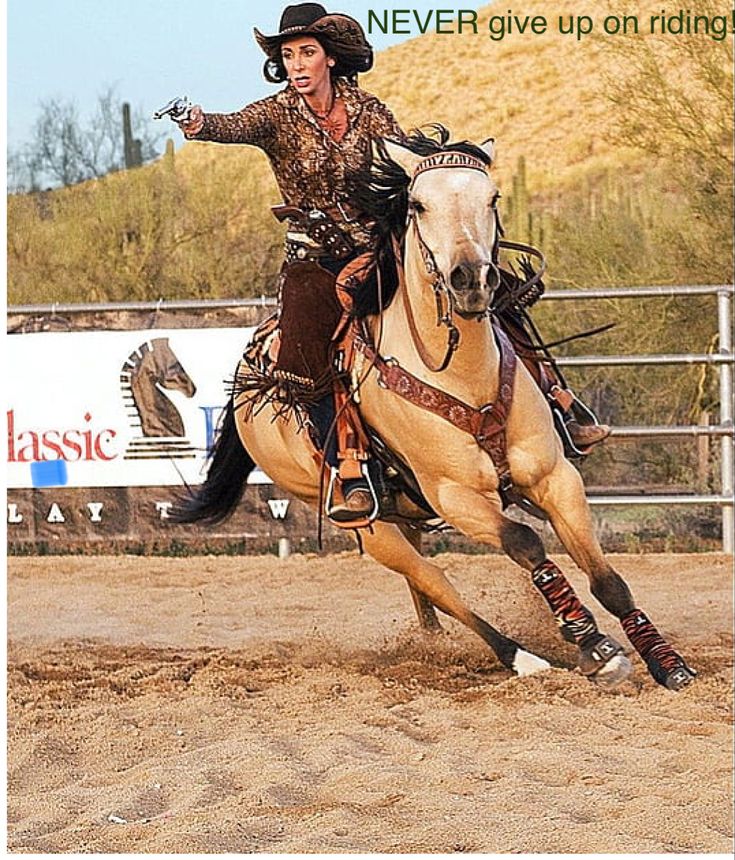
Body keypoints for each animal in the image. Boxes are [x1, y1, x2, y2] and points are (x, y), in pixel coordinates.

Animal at [175, 129, 700, 692]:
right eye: (418, 205)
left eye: (492, 198)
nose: (471, 278)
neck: (465, 377)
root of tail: (248, 379)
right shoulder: (455, 496)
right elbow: (524, 543)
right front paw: (592, 645)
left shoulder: (554, 477)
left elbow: (609, 579)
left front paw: (667, 663)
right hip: (368, 526)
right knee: (436, 581)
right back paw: (521, 657)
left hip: (405, 510)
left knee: (426, 584)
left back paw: (432, 641)